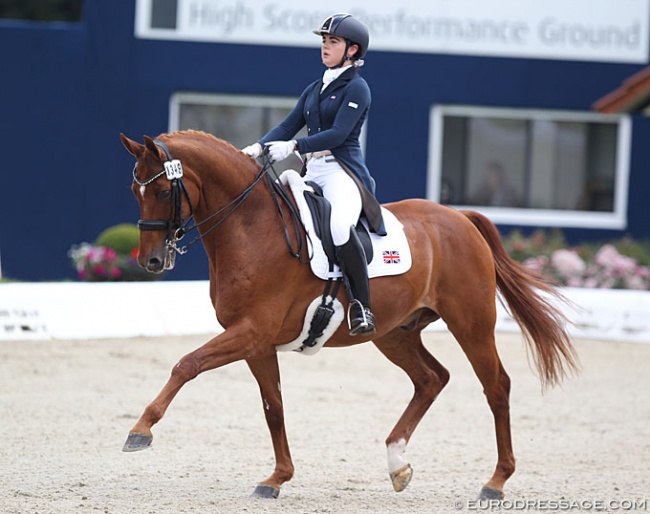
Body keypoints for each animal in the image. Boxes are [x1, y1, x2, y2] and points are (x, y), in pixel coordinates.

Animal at [119, 130, 576, 498]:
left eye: (163, 192)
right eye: (134, 191)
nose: (151, 262)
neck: (252, 227)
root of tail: (459, 217)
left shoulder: (249, 332)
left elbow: (186, 364)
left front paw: (140, 431)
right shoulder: (257, 343)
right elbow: (273, 407)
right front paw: (277, 478)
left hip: (471, 323)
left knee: (496, 386)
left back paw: (495, 482)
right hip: (394, 333)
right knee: (432, 379)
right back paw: (397, 464)